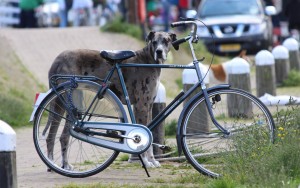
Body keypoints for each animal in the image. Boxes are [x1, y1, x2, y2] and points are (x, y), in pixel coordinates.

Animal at [47, 31, 178, 169]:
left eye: (166, 41)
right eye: (154, 42)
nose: (159, 51)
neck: (147, 60)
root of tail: (58, 59)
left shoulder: (149, 106)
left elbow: (150, 134)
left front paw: (152, 161)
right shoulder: (141, 105)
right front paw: (146, 162)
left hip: (60, 105)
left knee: (51, 135)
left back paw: (53, 164)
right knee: (64, 136)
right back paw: (64, 164)